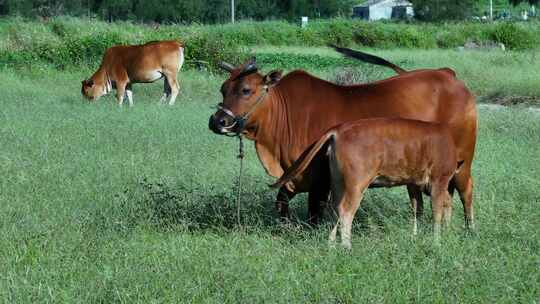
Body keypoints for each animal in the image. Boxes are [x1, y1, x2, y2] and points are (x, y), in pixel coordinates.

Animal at [207, 47, 476, 228]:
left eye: (246, 90)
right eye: (223, 89)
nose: (217, 121)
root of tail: (447, 74)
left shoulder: (319, 178)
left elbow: (314, 213)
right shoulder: (293, 176)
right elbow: (281, 202)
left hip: (462, 161)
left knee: (466, 191)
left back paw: (469, 230)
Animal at [272, 117, 462, 248]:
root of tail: (339, 130)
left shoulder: (413, 184)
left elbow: (417, 211)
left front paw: (416, 237)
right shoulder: (439, 180)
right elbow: (437, 212)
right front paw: (437, 241)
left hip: (339, 182)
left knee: (334, 210)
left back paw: (331, 244)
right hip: (356, 184)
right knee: (345, 211)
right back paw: (347, 247)